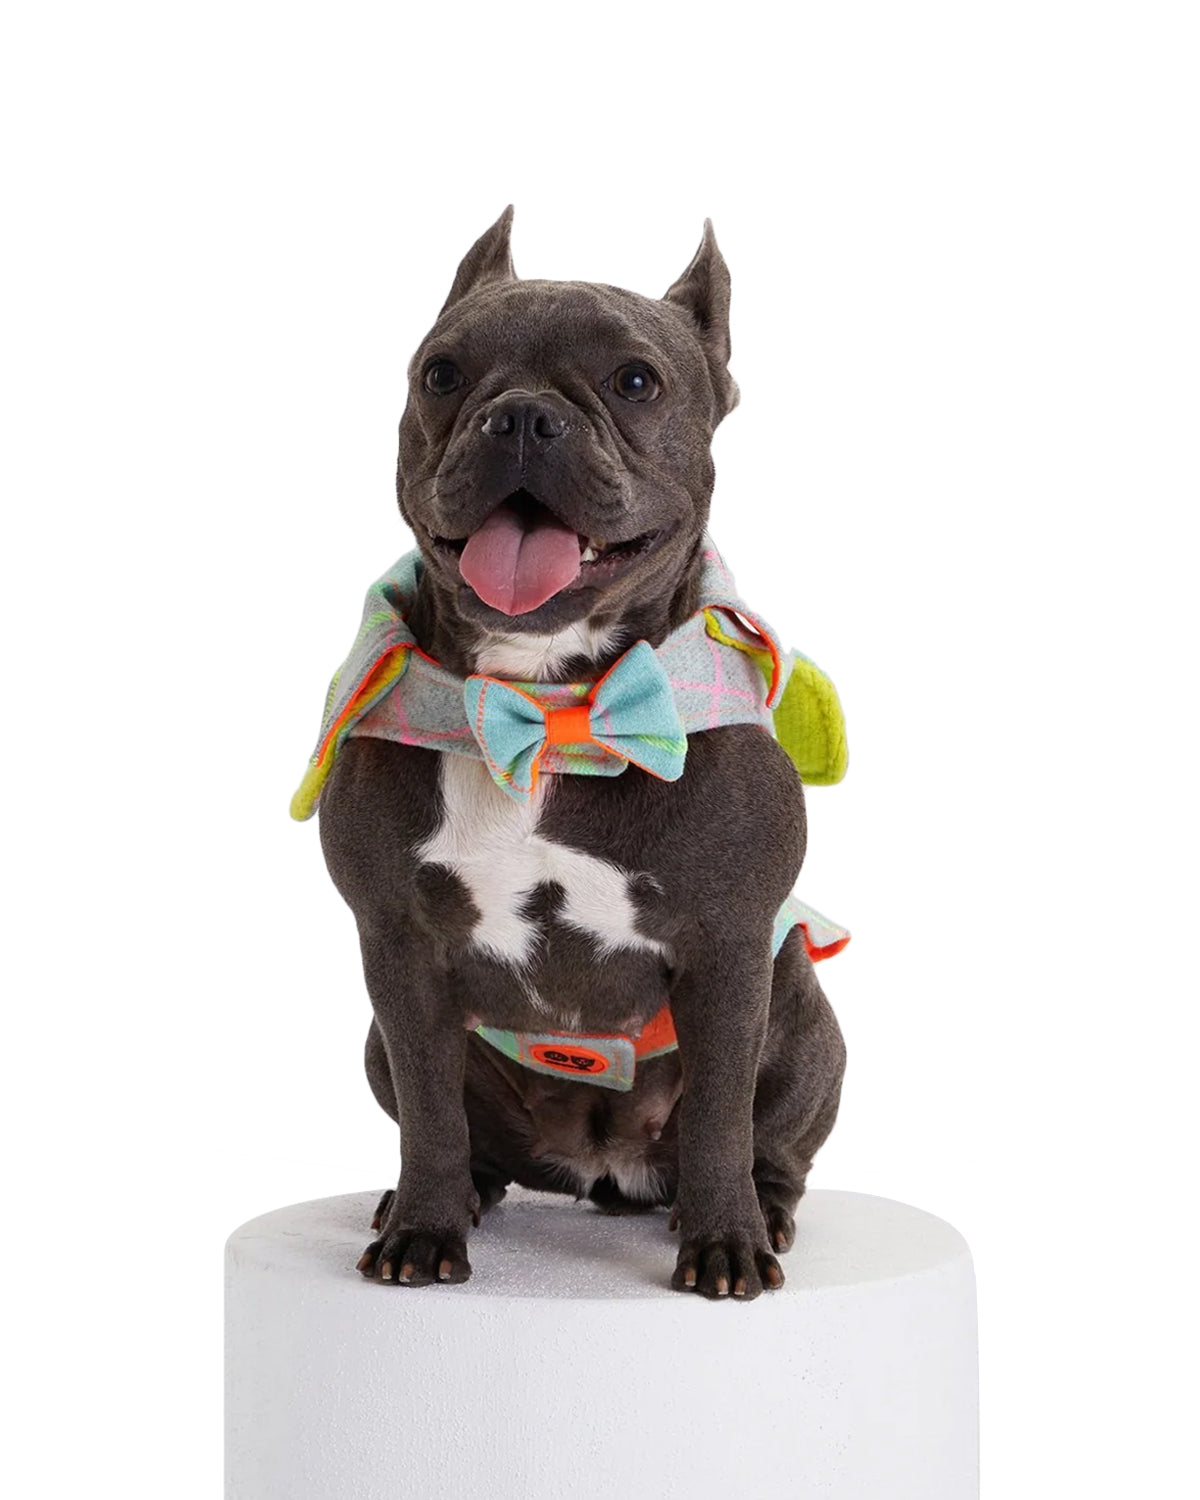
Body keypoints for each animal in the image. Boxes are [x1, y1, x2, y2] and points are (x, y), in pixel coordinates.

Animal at [302, 207, 847, 1300]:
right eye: (442, 372)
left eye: (636, 380)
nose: (520, 417)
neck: (542, 702)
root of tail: (602, 1170)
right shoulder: (399, 953)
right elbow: (430, 1112)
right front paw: (424, 1228)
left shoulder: (731, 952)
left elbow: (720, 1118)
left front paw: (724, 1245)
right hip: (383, 1042)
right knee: (460, 1130)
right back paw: (458, 1193)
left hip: (806, 1015)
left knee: (769, 1144)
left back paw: (759, 1213)